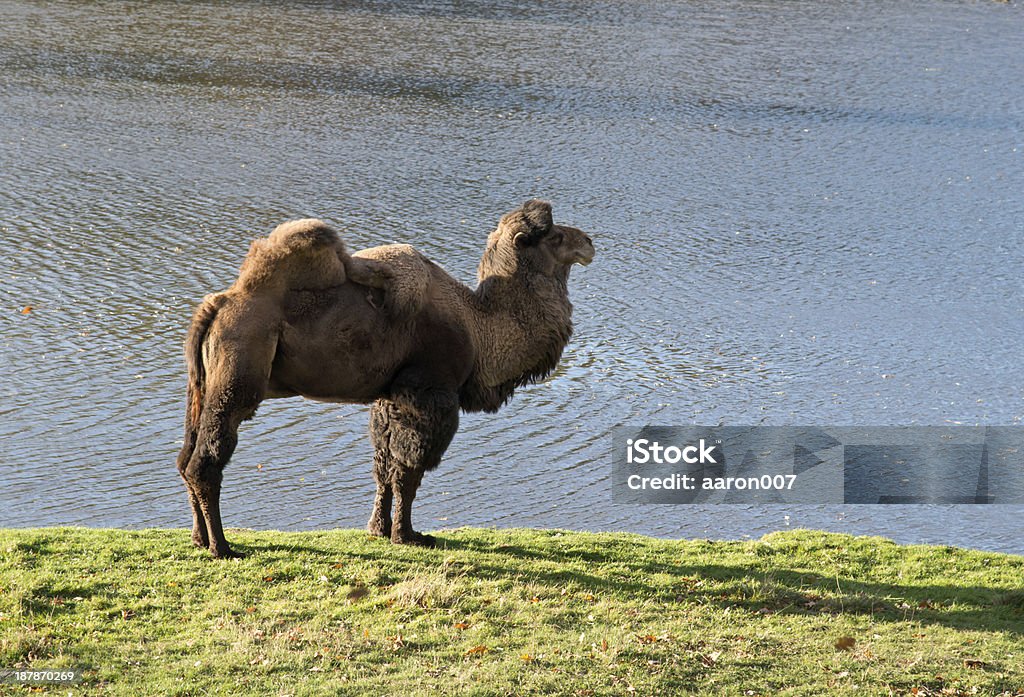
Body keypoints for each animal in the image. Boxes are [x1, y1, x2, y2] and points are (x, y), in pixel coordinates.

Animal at [175, 198, 593, 556]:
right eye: (554, 237)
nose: (589, 242)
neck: (478, 327)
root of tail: (218, 305)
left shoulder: (390, 394)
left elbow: (384, 465)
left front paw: (378, 530)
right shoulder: (429, 393)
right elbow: (409, 468)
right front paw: (407, 535)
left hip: (202, 387)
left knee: (185, 457)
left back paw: (199, 539)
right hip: (238, 377)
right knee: (205, 461)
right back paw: (223, 548)